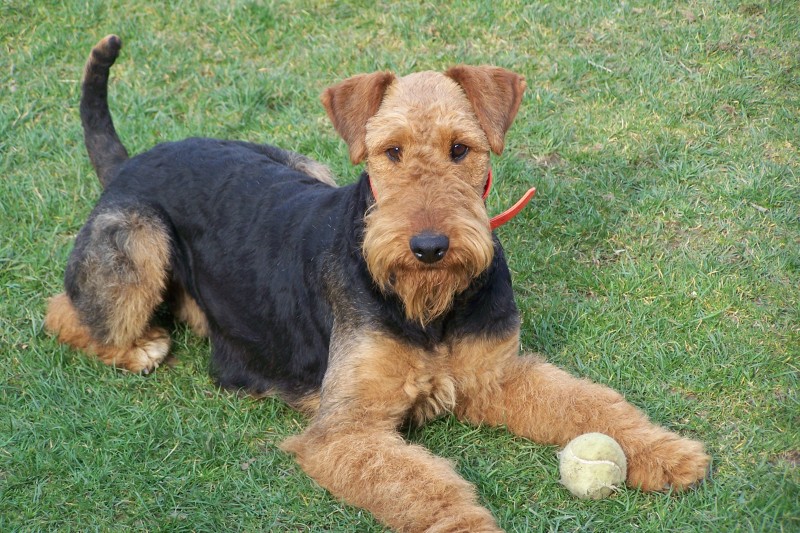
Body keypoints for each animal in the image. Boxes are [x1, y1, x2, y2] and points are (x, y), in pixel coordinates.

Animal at [45, 35, 708, 528]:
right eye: (390, 152)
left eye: (461, 149)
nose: (429, 247)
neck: (428, 310)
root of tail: (129, 161)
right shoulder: (344, 429)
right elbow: (421, 485)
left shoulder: (497, 373)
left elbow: (592, 403)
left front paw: (668, 452)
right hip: (139, 242)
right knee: (63, 311)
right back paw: (141, 348)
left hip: (301, 164)